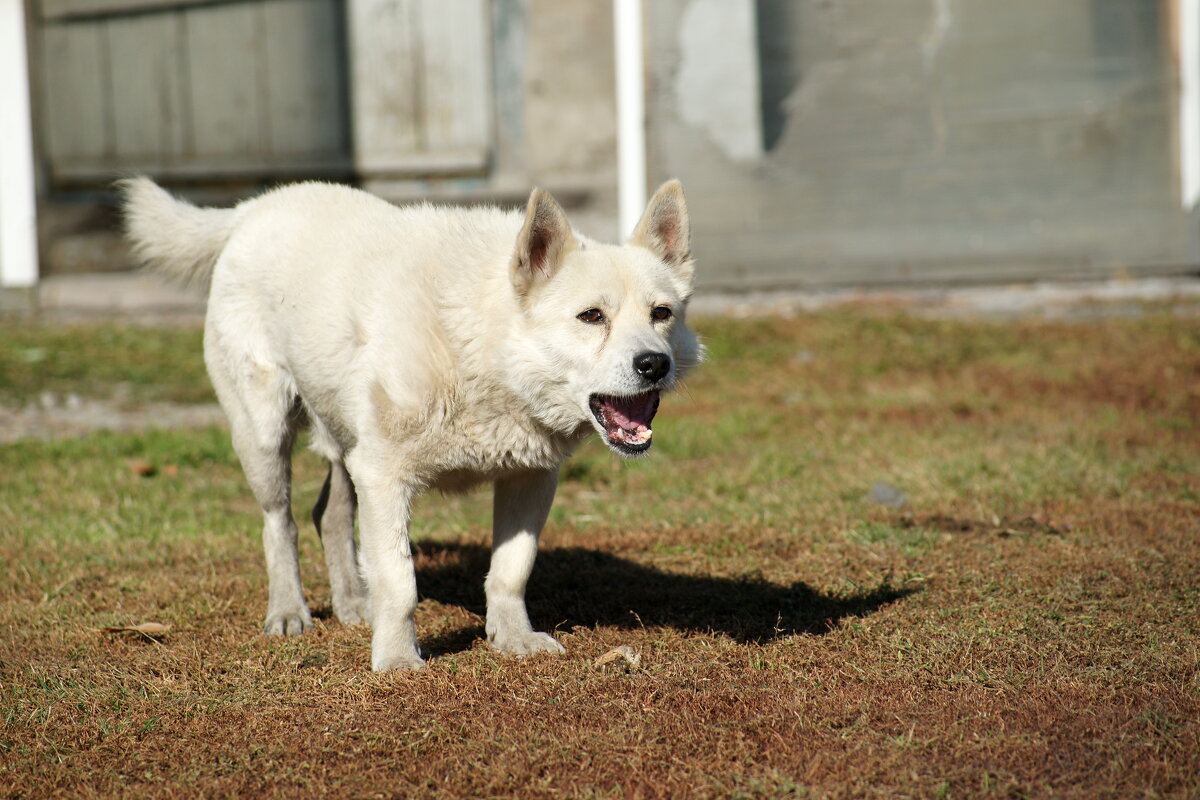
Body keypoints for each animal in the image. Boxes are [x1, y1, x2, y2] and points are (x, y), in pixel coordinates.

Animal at [119, 178, 700, 671]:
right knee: (279, 521)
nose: (654, 364)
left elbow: (511, 570)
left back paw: (354, 604)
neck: (482, 344)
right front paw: (398, 660)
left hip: (343, 442)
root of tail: (254, 208)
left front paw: (513, 639)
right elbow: (399, 580)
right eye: (591, 316)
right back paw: (289, 612)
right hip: (265, 436)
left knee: (329, 513)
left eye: (662, 314)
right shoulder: (384, 475)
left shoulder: (529, 479)